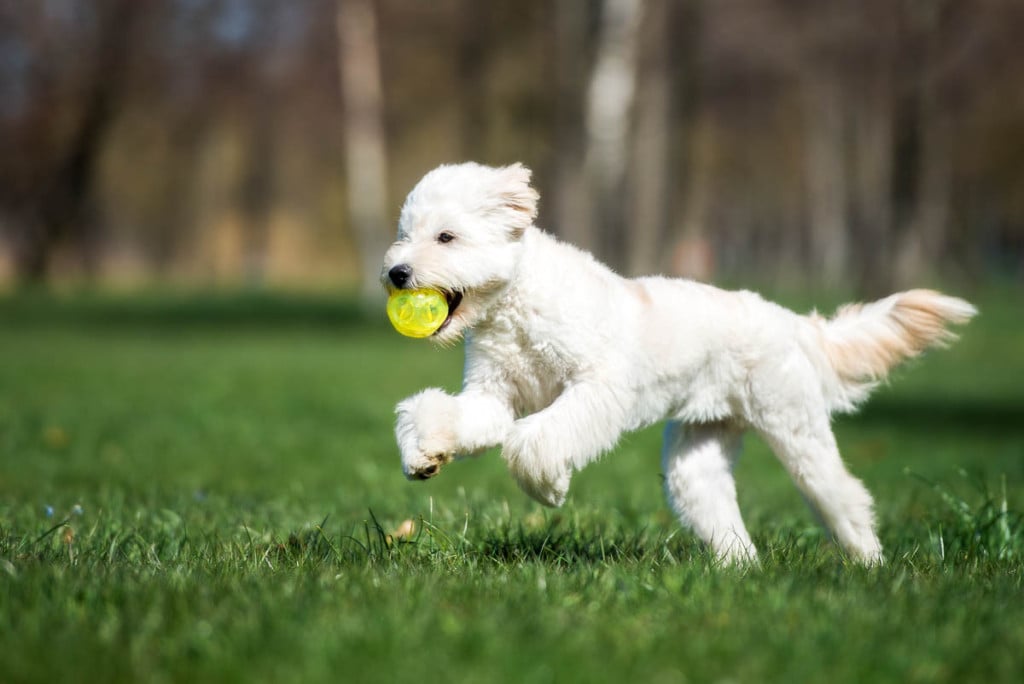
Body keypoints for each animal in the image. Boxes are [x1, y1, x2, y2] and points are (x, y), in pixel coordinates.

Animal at [385, 162, 974, 565]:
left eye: (446, 236)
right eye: (404, 233)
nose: (395, 272)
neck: (516, 303)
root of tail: (792, 323)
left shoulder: (598, 387)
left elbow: (534, 439)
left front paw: (547, 487)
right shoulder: (492, 396)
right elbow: (445, 415)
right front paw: (424, 454)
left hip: (796, 430)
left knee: (842, 495)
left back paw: (868, 563)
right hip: (698, 457)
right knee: (718, 509)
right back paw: (741, 570)